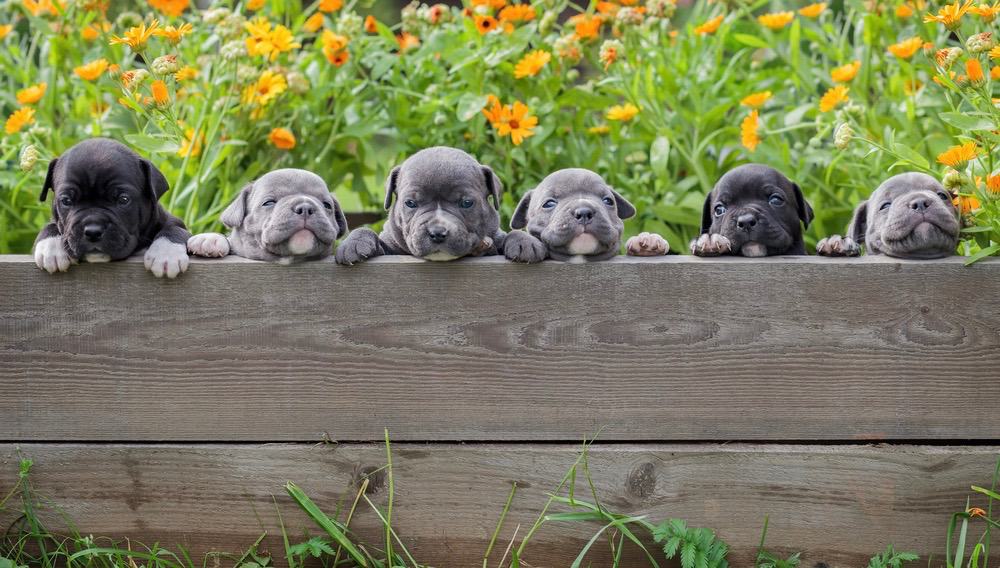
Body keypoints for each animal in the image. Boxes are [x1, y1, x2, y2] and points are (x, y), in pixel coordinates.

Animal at [31, 139, 191, 278]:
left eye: (123, 200)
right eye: (66, 201)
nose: (93, 231)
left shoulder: (172, 221)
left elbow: (175, 229)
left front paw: (166, 254)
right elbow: (50, 224)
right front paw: (51, 248)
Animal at [338, 145, 508, 262]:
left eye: (466, 203)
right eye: (410, 203)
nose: (437, 233)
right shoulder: (389, 247)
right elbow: (365, 231)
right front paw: (353, 244)